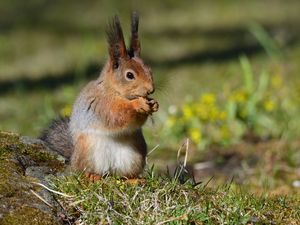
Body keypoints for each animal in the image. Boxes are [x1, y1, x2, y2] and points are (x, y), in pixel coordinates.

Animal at [42, 12, 161, 181]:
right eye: (129, 75)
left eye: (149, 69)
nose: (151, 89)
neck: (115, 91)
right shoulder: (101, 103)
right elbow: (116, 115)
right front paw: (138, 104)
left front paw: (154, 104)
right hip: (87, 151)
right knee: (84, 171)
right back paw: (92, 176)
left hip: (135, 154)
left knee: (124, 175)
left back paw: (134, 180)